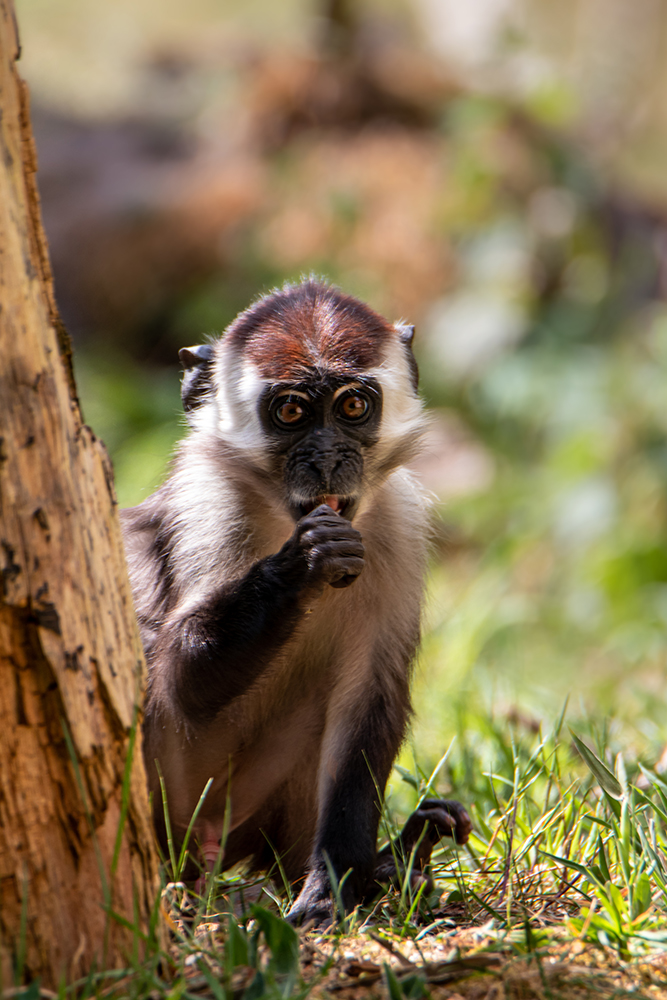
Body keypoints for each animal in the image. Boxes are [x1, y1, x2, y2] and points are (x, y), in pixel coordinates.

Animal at [122, 278, 472, 924]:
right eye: (291, 412)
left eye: (353, 408)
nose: (328, 458)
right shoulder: (207, 503)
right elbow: (175, 680)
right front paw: (302, 564)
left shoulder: (398, 522)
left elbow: (369, 698)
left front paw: (334, 887)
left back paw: (397, 858)